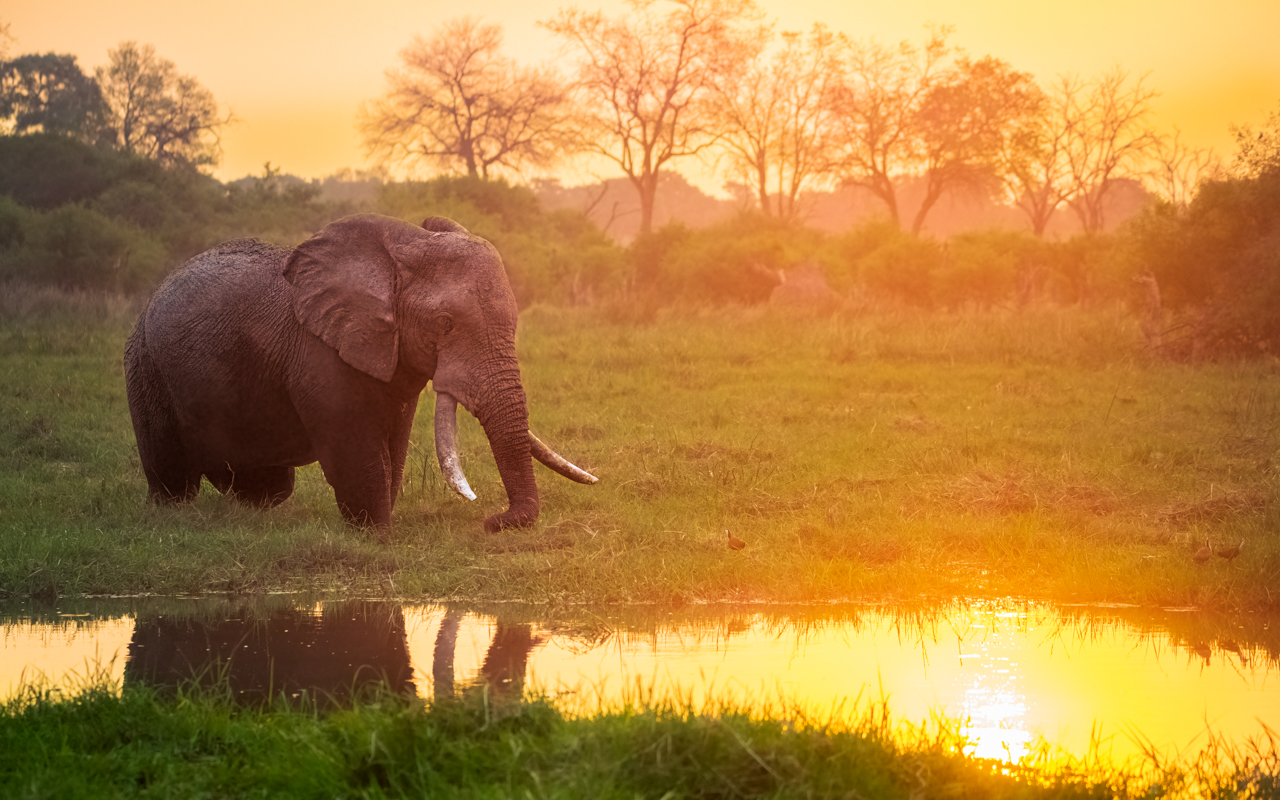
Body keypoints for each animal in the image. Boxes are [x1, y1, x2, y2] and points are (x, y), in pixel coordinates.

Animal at [124, 213, 596, 532]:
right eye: (444, 323)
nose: (492, 521)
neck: (399, 252)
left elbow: (394, 441)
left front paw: (377, 524)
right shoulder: (319, 354)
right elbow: (357, 448)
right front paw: (377, 534)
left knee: (270, 484)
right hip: (145, 365)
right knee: (172, 476)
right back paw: (172, 513)